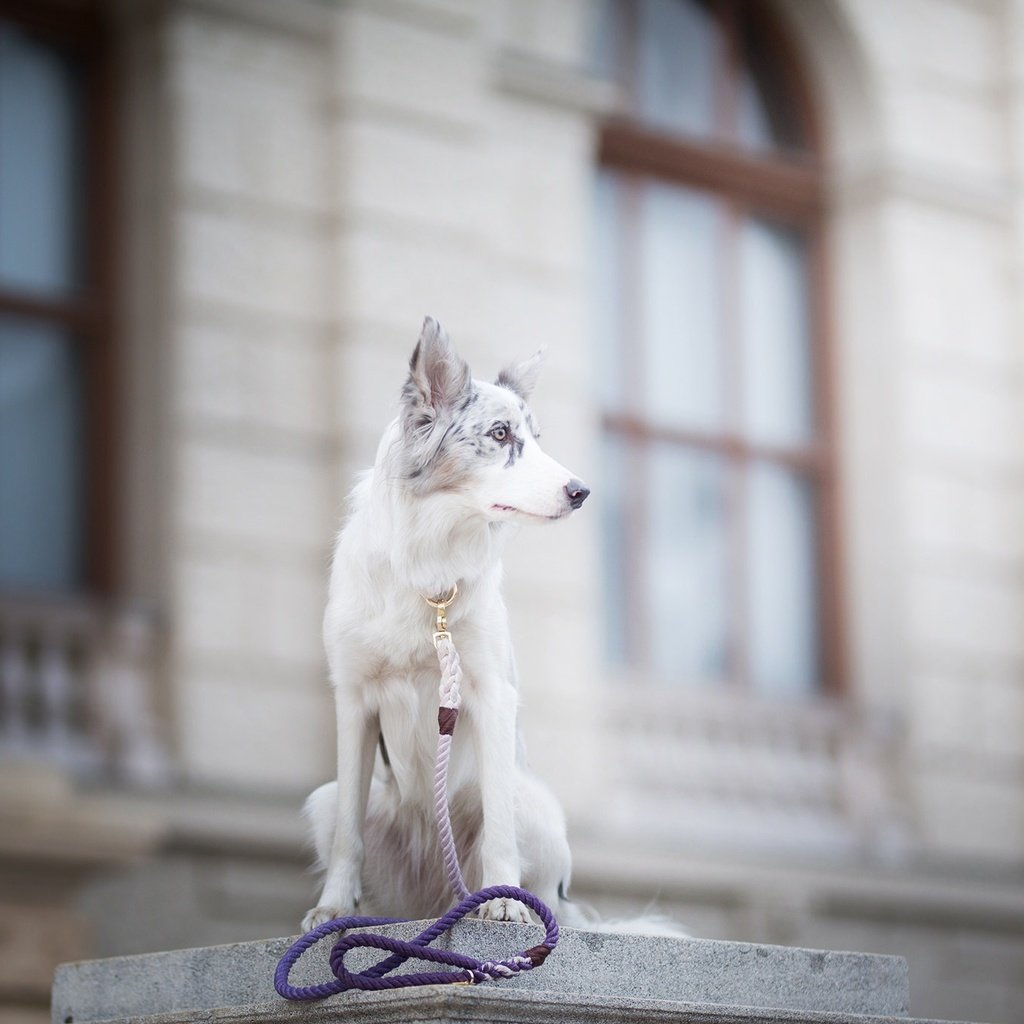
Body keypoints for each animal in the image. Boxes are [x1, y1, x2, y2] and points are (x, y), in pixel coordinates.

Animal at [301, 315, 593, 933]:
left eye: (537, 437)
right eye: (501, 434)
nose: (582, 492)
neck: (430, 567)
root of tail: (437, 899)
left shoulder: (491, 694)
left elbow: (499, 829)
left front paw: (505, 901)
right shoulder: (353, 700)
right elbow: (347, 837)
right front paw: (334, 907)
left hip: (538, 807)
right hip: (325, 799)